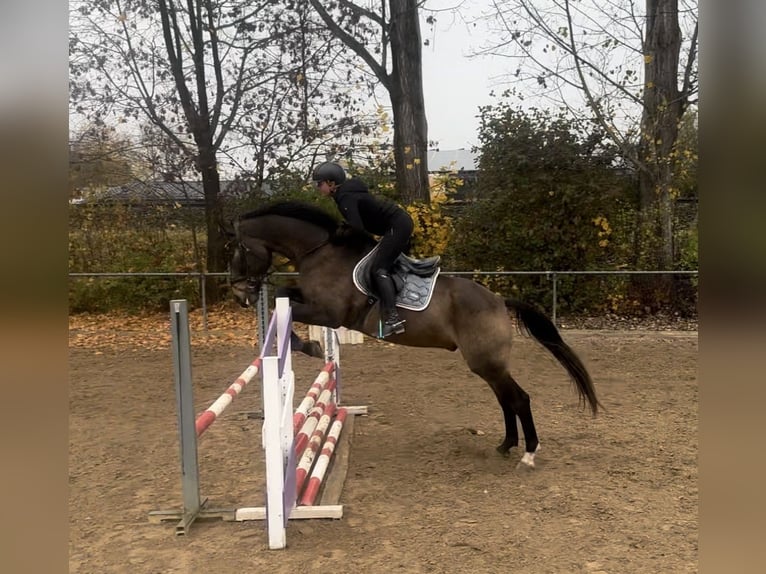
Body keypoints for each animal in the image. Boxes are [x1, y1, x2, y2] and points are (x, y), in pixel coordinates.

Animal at [228, 200, 600, 470]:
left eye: (240, 250)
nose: (239, 294)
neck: (320, 251)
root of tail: (498, 300)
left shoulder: (330, 314)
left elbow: (286, 303)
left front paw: (311, 345)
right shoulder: (312, 302)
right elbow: (285, 292)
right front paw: (310, 343)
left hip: (487, 362)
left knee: (519, 398)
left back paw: (528, 453)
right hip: (487, 364)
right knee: (505, 399)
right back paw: (505, 445)